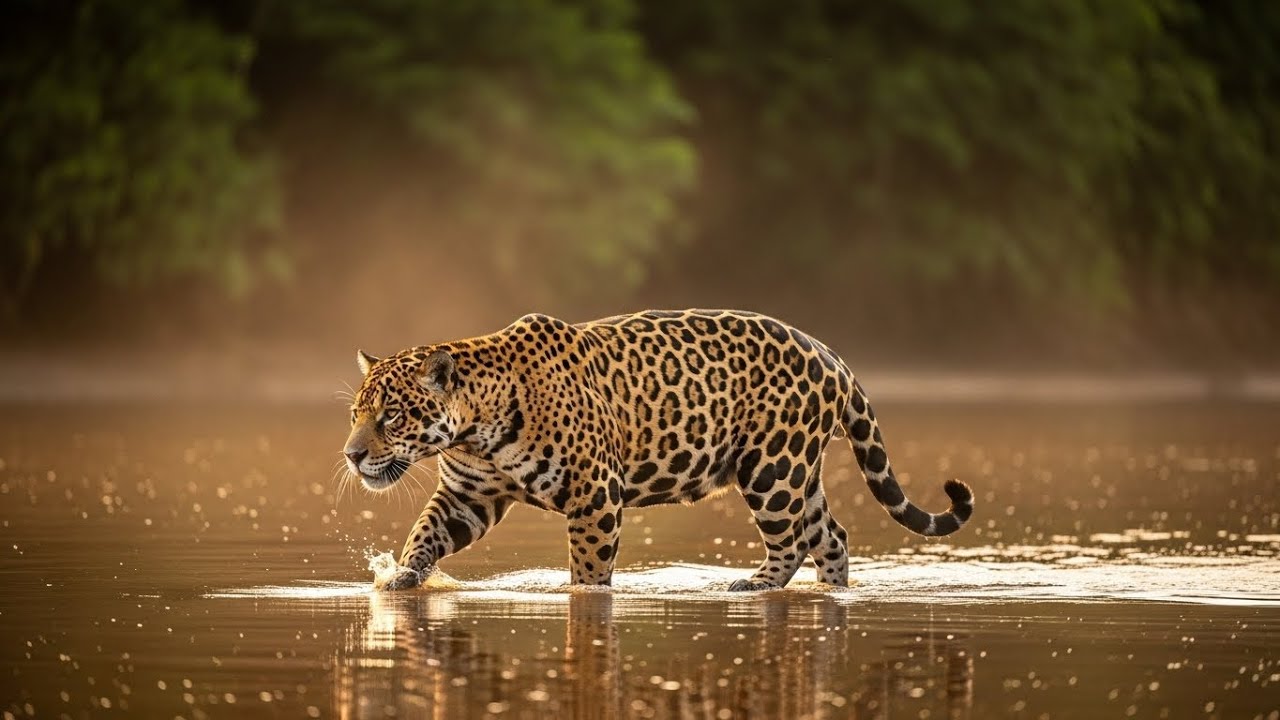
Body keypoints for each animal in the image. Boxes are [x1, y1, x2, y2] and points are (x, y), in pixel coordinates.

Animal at [342, 309, 974, 591]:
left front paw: (581, 593)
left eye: (391, 415)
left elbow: (589, 570)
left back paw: (756, 584)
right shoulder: (468, 495)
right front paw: (400, 577)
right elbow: (425, 534)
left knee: (792, 538)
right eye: (355, 415)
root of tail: (830, 353)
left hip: (772, 468)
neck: (477, 428)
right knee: (831, 534)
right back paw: (831, 590)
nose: (351, 455)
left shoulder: (594, 494)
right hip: (796, 471)